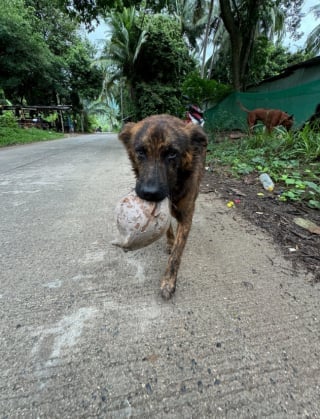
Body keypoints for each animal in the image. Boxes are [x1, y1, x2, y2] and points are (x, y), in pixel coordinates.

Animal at [119, 113, 209, 300]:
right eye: (140, 152)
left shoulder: (186, 217)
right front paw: (170, 242)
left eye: (172, 154)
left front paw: (168, 282)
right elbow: (168, 229)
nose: (149, 193)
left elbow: (176, 254)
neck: (173, 188)